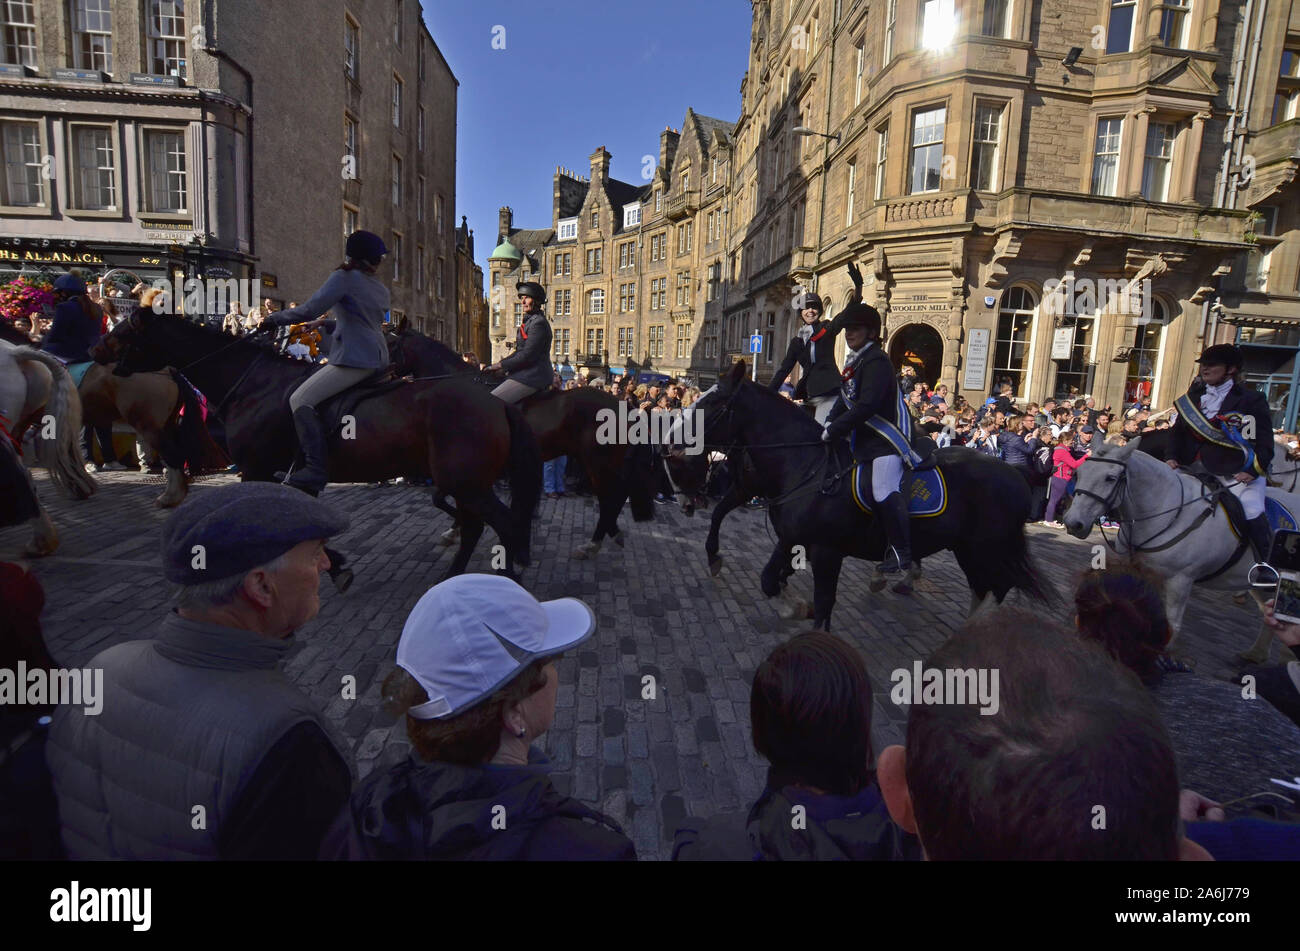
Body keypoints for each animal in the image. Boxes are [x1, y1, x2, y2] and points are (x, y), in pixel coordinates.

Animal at [91, 311, 538, 579]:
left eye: (126, 330)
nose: (94, 351)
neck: (255, 385)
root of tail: (494, 400)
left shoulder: (255, 469)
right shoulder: (279, 474)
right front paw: (335, 564)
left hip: (467, 483)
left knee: (504, 524)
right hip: (466, 483)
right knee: (477, 526)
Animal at [379, 327, 655, 556]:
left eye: (390, 344)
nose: (376, 379)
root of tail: (622, 405)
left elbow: (443, 498)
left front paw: (457, 528)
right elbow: (445, 498)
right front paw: (455, 529)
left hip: (598, 462)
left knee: (612, 497)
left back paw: (593, 543)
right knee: (614, 497)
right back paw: (608, 535)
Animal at [676, 363, 1050, 631]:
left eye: (713, 402)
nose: (672, 439)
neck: (807, 464)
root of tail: (1015, 476)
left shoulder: (826, 550)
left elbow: (821, 604)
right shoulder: (792, 536)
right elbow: (770, 579)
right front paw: (794, 605)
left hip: (984, 549)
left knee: (996, 588)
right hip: (968, 549)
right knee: (983, 588)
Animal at [1066, 433, 1300, 649]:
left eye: (1110, 478)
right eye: (1079, 473)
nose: (1073, 523)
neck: (1166, 511)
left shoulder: (1180, 580)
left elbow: (1171, 625)